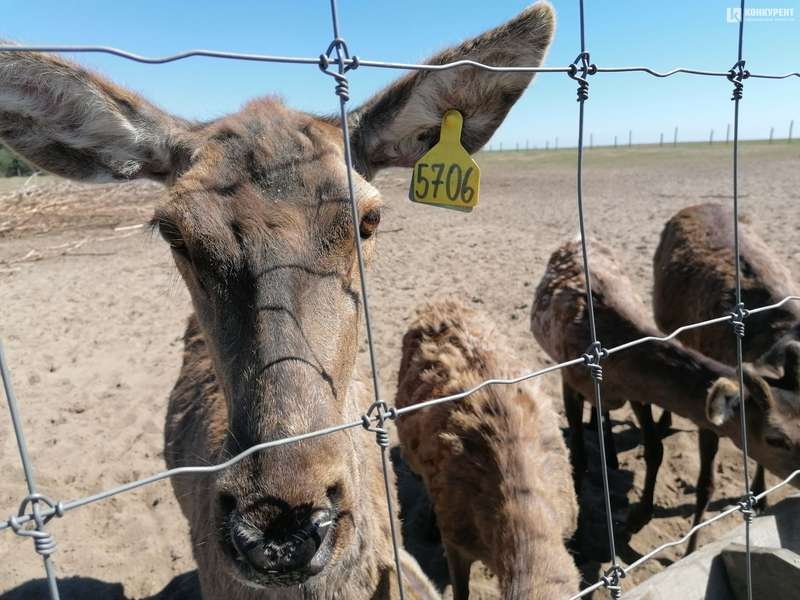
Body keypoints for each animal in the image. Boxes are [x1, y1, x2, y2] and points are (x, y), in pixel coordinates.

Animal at [531, 238, 800, 545]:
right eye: (775, 439)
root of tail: (575, 239)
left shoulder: (638, 393)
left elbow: (655, 448)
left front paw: (637, 517)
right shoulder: (569, 376)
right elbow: (578, 458)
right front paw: (577, 535)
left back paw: (609, 450)